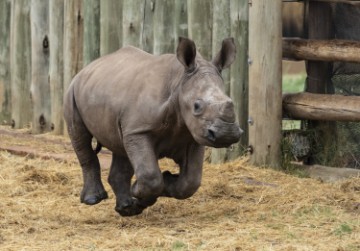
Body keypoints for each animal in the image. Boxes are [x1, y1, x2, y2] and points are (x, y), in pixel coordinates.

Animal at [63, 36, 243, 216]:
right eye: (196, 106)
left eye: (231, 101)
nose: (226, 133)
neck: (179, 83)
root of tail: (87, 68)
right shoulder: (139, 130)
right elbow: (150, 176)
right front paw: (140, 189)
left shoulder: (193, 136)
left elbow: (191, 181)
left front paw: (163, 184)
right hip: (73, 91)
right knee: (81, 137)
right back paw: (93, 200)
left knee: (120, 146)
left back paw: (127, 209)